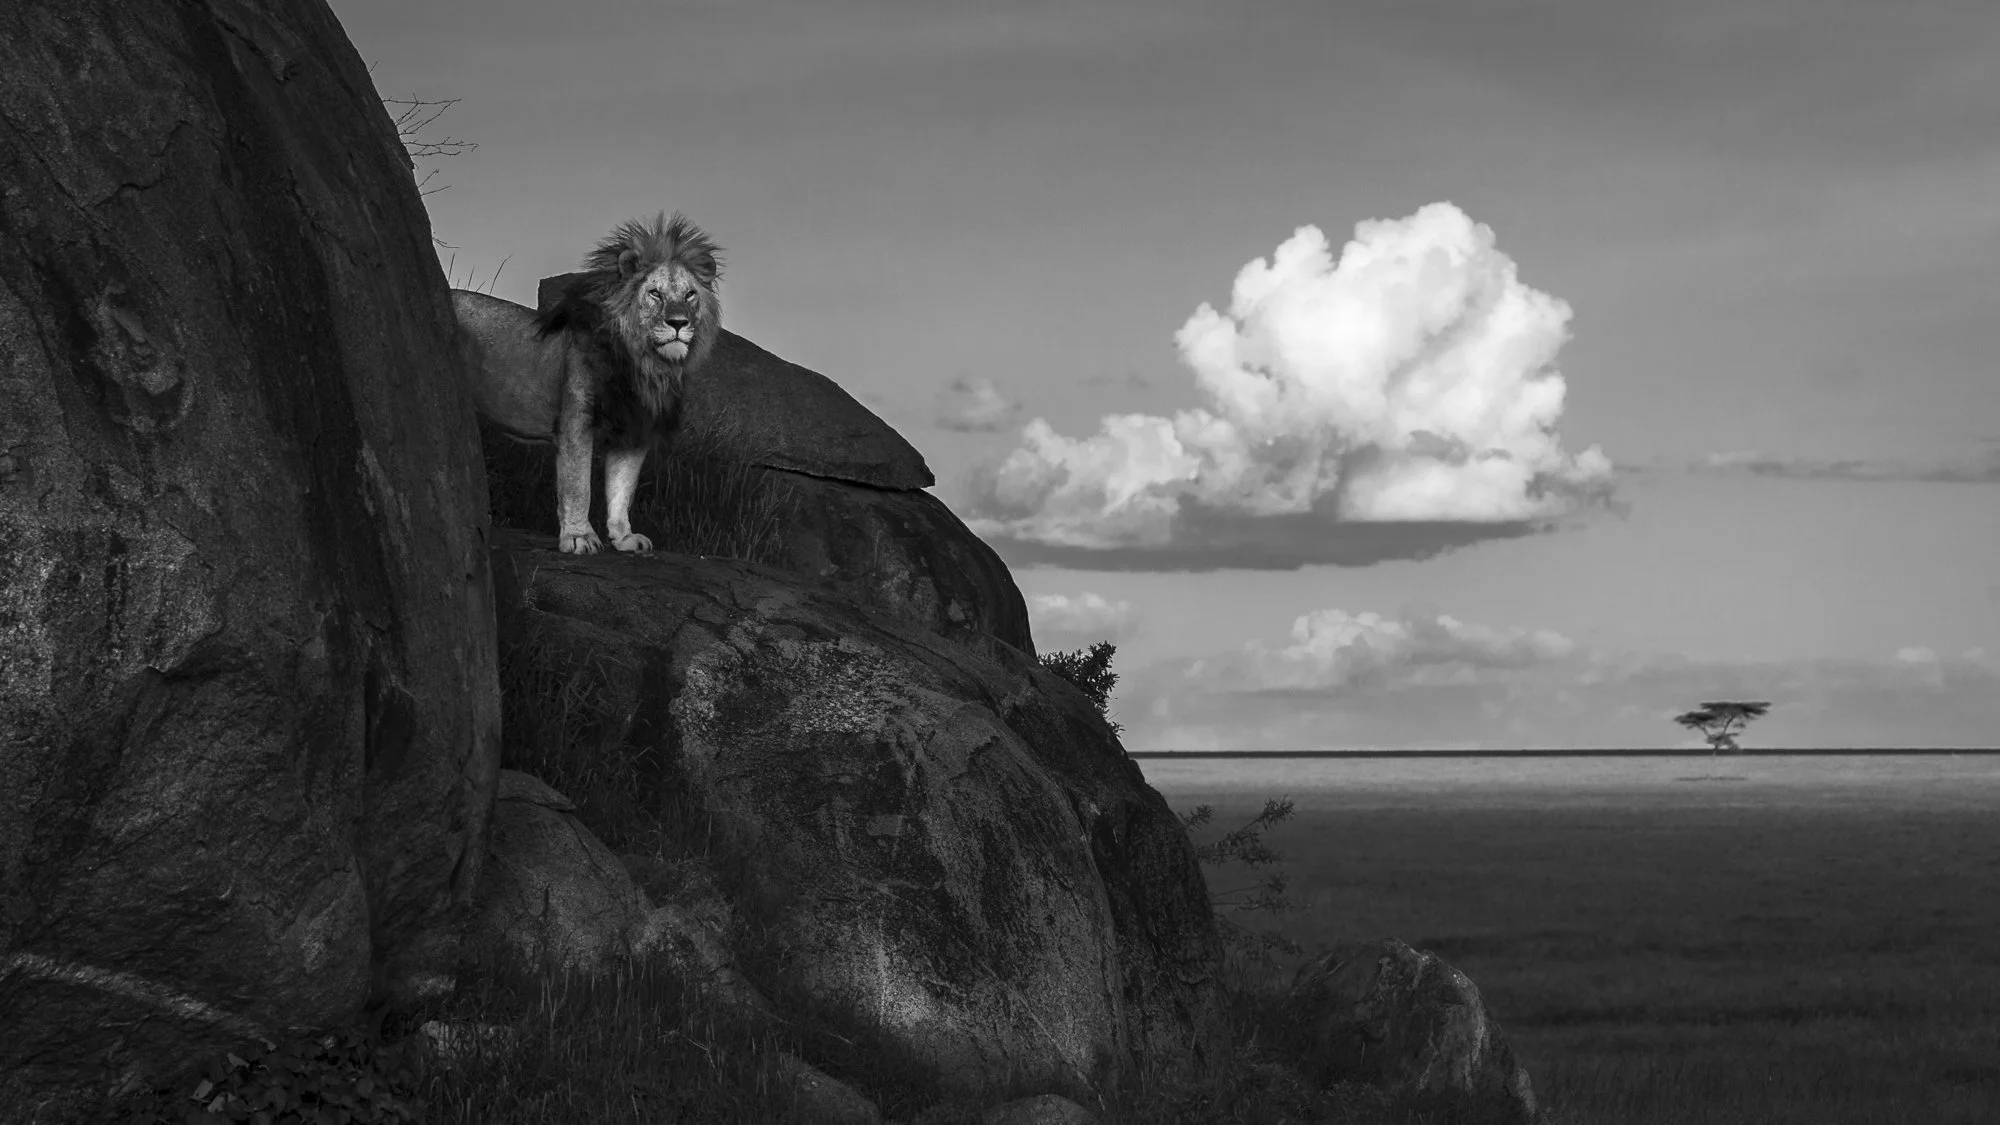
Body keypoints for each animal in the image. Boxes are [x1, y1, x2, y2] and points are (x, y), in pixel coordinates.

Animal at [451, 212, 722, 554]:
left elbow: (622, 488)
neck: (645, 364)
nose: (678, 323)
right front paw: (579, 537)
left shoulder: (633, 430)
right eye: (655, 293)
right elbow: (578, 485)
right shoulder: (576, 420)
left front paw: (624, 537)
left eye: (690, 295)